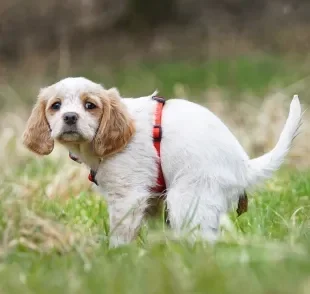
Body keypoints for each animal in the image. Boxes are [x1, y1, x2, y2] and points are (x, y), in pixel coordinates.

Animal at [23, 77, 302, 247]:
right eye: (55, 106)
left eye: (90, 105)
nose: (70, 117)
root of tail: (244, 166)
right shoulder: (153, 199)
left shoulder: (128, 195)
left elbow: (120, 232)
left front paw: (116, 255)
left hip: (187, 199)